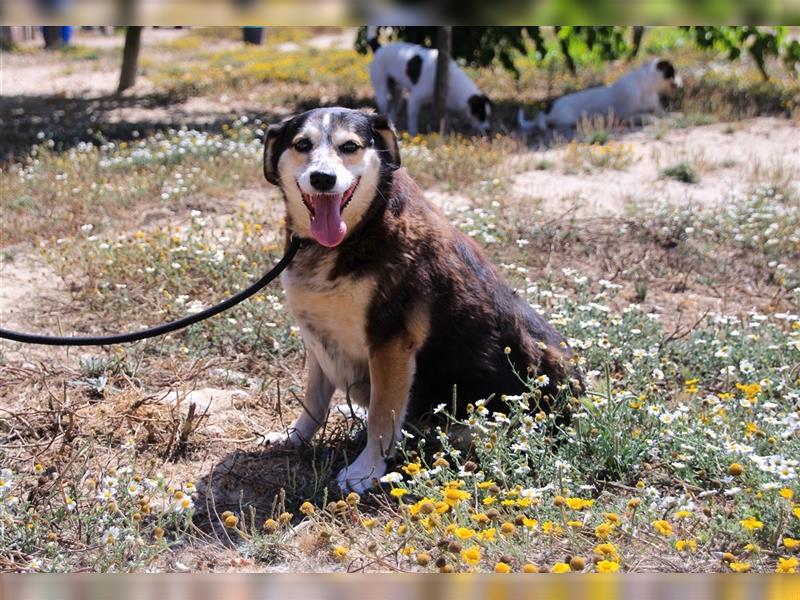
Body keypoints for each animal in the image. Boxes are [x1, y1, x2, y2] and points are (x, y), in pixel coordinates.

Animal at [262, 106, 580, 492]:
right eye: (302, 145)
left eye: (349, 146)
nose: (323, 179)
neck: (362, 230)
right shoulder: (318, 338)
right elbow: (313, 402)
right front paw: (294, 437)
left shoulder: (390, 344)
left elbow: (382, 416)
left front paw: (365, 470)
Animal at [520, 58, 680, 131]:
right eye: (673, 72)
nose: (680, 83)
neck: (647, 87)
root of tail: (550, 108)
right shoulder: (628, 116)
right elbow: (650, 116)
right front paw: (663, 121)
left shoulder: (656, 107)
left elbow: (664, 113)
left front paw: (674, 116)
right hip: (567, 119)